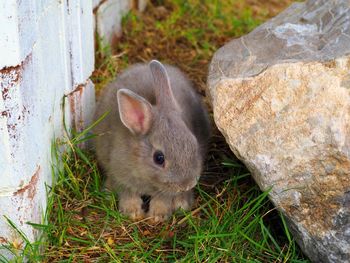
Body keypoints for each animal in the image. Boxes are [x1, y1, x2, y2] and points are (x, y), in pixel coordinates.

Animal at [93, 60, 211, 223]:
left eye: (194, 144)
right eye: (159, 158)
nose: (187, 184)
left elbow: (163, 198)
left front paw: (158, 215)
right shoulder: (120, 175)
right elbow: (128, 193)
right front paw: (132, 212)